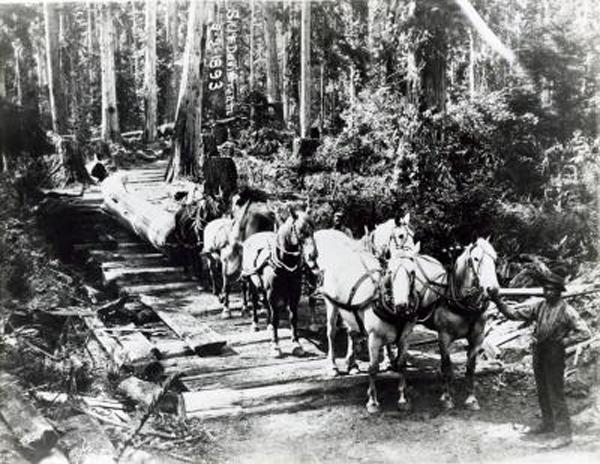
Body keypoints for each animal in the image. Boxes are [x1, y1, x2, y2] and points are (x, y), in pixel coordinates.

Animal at [243, 208, 322, 358]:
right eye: (301, 230)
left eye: (313, 229)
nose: (313, 255)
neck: (284, 264)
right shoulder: (273, 294)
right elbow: (276, 319)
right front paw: (275, 346)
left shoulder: (294, 294)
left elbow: (293, 317)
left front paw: (296, 344)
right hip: (252, 282)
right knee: (255, 302)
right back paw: (255, 324)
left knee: (266, 304)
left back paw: (267, 325)